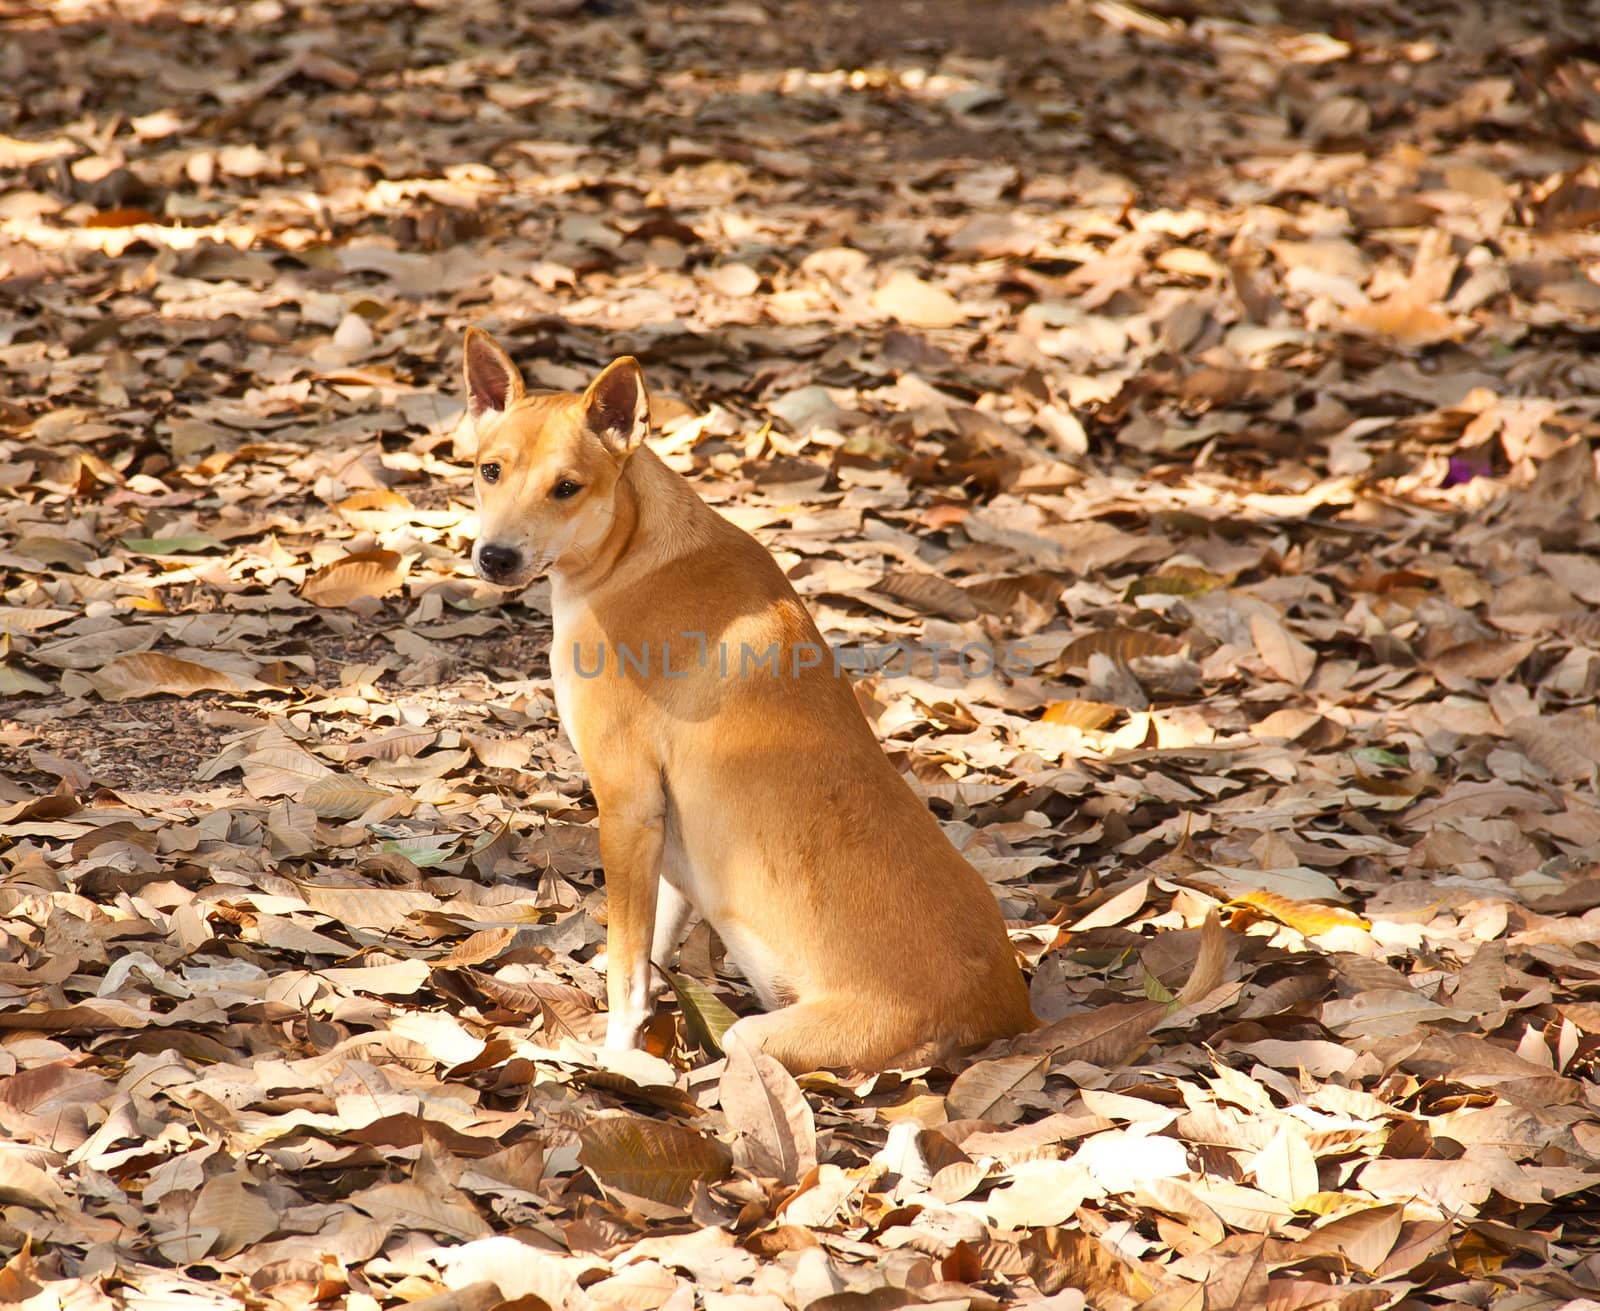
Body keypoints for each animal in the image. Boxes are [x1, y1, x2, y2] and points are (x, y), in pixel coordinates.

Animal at [464, 323, 1036, 1069]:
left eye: (567, 488)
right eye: (489, 471)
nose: (495, 557)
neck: (631, 548)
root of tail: (1012, 1017)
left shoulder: (626, 803)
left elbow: (626, 970)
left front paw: (619, 1059)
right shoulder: (665, 839)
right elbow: (651, 951)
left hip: (764, 1034)